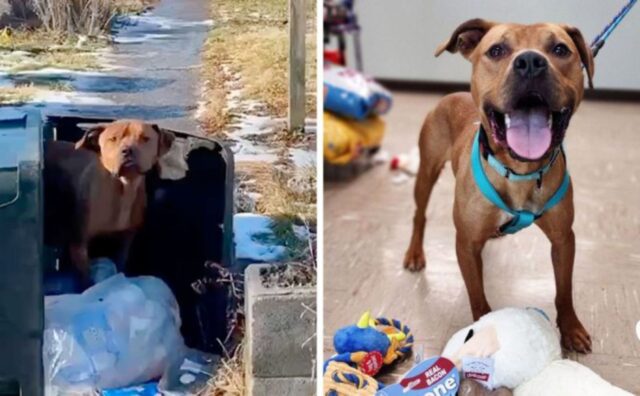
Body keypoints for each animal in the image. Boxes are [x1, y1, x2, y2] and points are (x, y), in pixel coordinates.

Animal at [44, 120, 175, 282]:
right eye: (113, 139)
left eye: (145, 138)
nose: (127, 150)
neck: (125, 188)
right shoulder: (79, 246)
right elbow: (86, 279)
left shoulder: (125, 240)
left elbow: (120, 264)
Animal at [404, 19, 596, 352]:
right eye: (496, 50)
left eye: (560, 49)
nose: (530, 62)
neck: (520, 171)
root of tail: (451, 95)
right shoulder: (466, 243)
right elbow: (477, 297)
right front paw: (481, 329)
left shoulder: (563, 239)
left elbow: (564, 290)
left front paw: (571, 328)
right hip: (426, 172)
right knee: (419, 214)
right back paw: (415, 253)